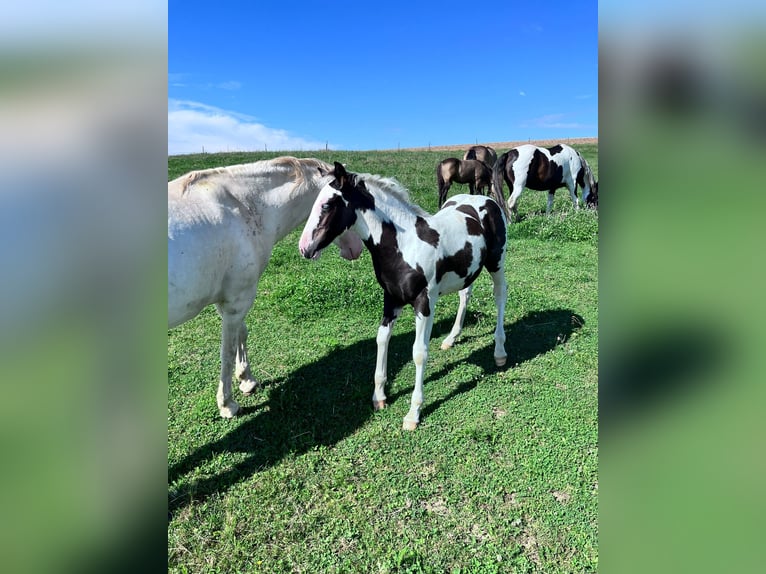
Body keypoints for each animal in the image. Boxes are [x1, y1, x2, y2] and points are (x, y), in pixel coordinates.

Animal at [170, 158, 366, 418]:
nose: (357, 249)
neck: (242, 206)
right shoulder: (237, 301)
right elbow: (227, 351)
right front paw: (227, 404)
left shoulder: (230, 300)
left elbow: (242, 334)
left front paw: (247, 379)